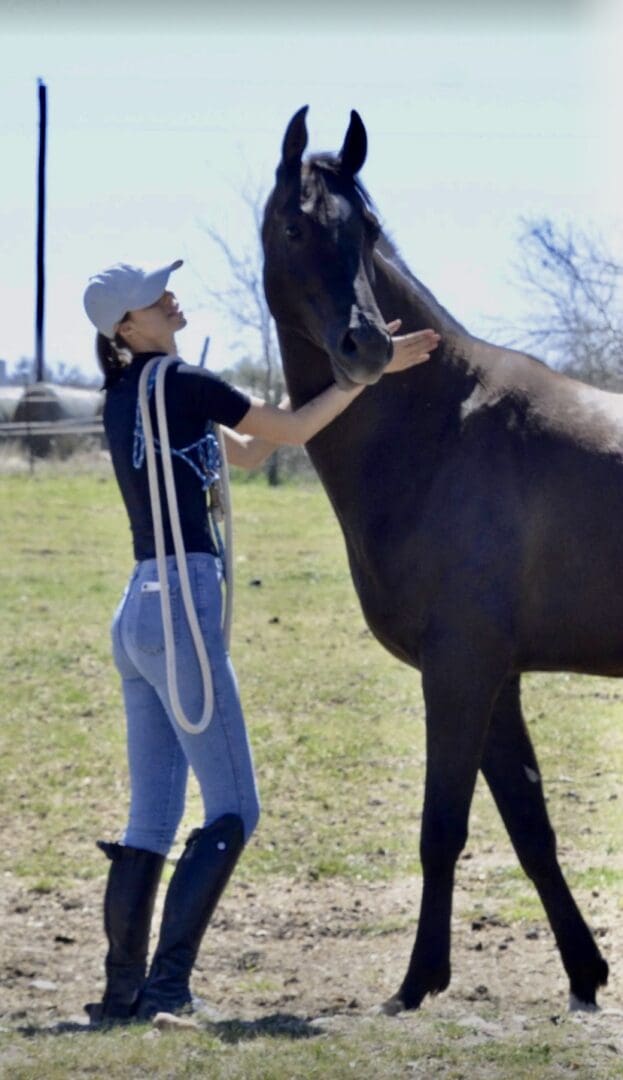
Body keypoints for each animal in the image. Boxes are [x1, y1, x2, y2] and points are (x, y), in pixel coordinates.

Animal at [260, 107, 617, 1010]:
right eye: (295, 225)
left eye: (366, 230)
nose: (364, 347)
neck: (441, 428)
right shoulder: (495, 679)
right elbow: (529, 826)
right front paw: (584, 973)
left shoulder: (459, 670)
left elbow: (440, 830)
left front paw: (418, 980)